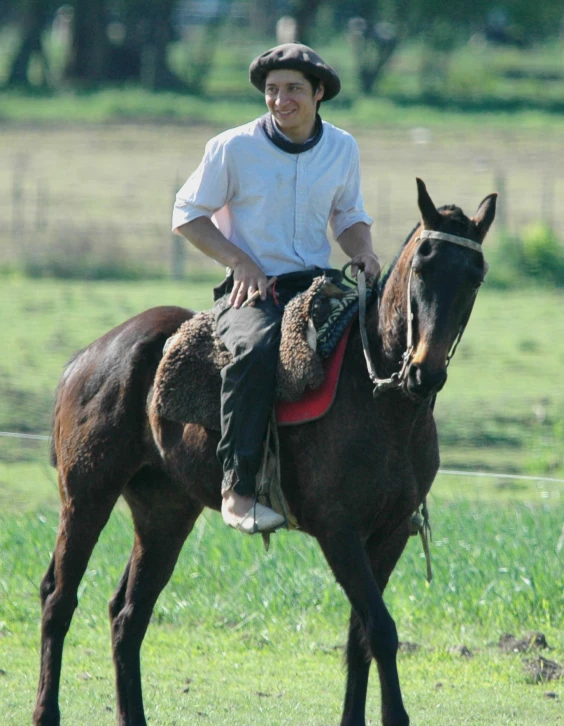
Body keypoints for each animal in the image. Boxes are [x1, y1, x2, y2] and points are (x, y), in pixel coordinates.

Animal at [33, 181, 496, 726]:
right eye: (423, 266)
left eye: (475, 276)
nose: (425, 371)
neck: (379, 396)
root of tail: (86, 358)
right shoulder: (339, 532)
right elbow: (380, 630)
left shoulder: (389, 534)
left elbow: (360, 636)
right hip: (87, 496)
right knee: (59, 600)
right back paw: (45, 711)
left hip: (164, 513)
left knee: (128, 615)